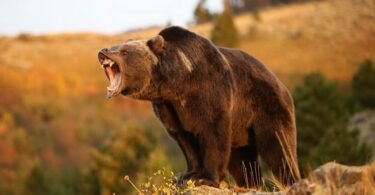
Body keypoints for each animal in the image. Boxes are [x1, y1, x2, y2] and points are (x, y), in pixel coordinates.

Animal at [98, 25, 302, 187]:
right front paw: (187, 175)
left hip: (267, 106)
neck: (178, 83)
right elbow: (184, 139)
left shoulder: (210, 92)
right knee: (243, 161)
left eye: (124, 52)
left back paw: (291, 181)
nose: (103, 51)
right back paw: (250, 184)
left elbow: (213, 133)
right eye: (115, 46)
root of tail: (280, 83)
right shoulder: (169, 108)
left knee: (278, 146)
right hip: (241, 130)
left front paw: (206, 178)